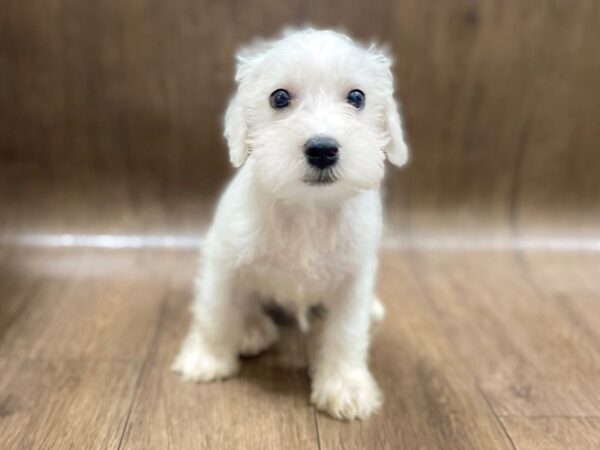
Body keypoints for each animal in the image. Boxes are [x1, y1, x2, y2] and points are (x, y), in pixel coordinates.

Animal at [171, 28, 410, 420]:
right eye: (279, 97)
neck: (307, 210)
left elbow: (347, 333)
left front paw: (345, 387)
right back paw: (251, 328)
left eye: (357, 97)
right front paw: (206, 359)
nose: (323, 149)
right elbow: (215, 311)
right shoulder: (223, 260)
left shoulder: (353, 279)